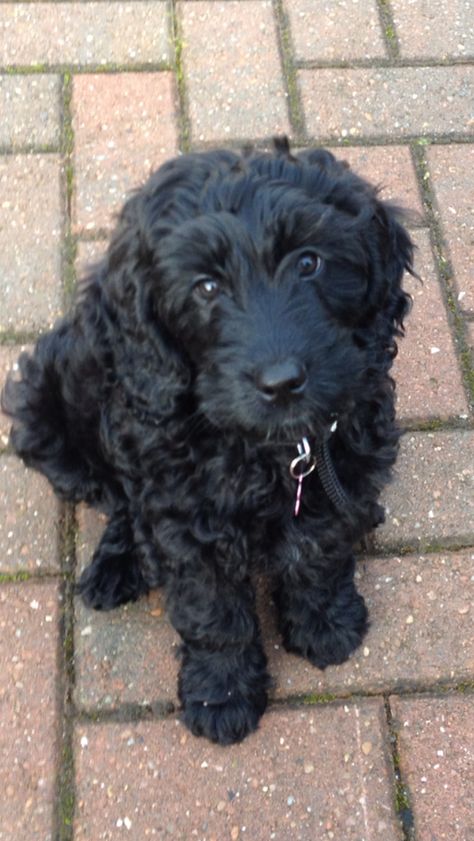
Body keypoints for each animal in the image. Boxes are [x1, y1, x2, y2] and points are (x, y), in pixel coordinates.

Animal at [2, 138, 412, 740]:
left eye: (308, 261)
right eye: (206, 287)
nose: (283, 382)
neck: (269, 448)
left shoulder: (343, 458)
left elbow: (319, 550)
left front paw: (326, 623)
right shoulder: (182, 517)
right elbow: (212, 611)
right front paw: (222, 695)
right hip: (44, 409)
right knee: (119, 502)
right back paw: (117, 564)